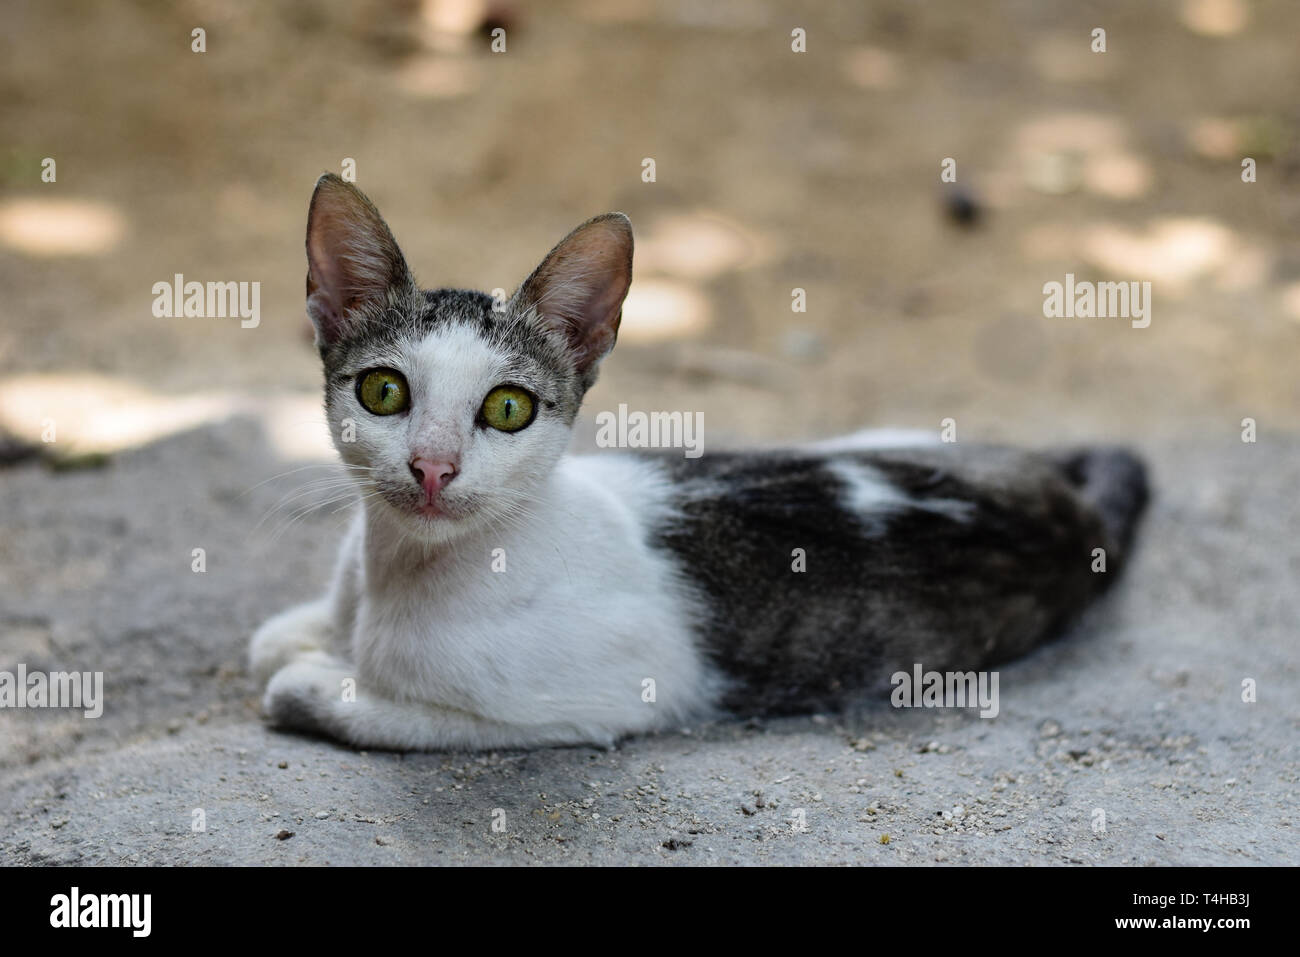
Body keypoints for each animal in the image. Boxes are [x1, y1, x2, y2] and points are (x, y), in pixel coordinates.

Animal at [245, 175, 1149, 748]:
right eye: (385, 392)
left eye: (507, 408)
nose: (433, 466)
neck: (395, 572)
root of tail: (1069, 505)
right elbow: (280, 633)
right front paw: (306, 633)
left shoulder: (581, 707)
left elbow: (335, 696)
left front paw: (320, 674)